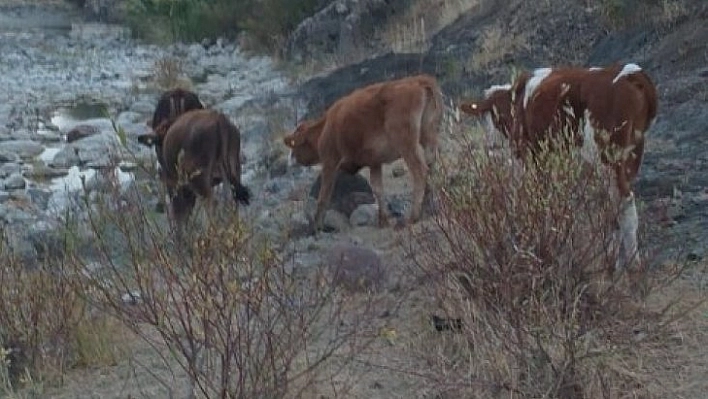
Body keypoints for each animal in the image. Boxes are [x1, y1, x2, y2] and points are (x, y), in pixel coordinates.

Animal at [282, 74, 442, 231]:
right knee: (431, 167)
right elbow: (378, 189)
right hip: (428, 136)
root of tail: (419, 80)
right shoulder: (375, 162)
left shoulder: (330, 162)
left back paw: (412, 217)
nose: (289, 161)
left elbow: (324, 195)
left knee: (420, 172)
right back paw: (427, 209)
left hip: (406, 144)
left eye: (295, 145)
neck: (325, 128)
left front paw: (316, 226)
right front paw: (383, 220)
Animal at [460, 63, 660, 268]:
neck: (516, 100)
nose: (492, 145)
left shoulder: (531, 157)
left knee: (622, 202)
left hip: (606, 158)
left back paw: (629, 263)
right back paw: (618, 262)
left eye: (490, 117)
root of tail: (631, 73)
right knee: (615, 206)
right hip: (632, 155)